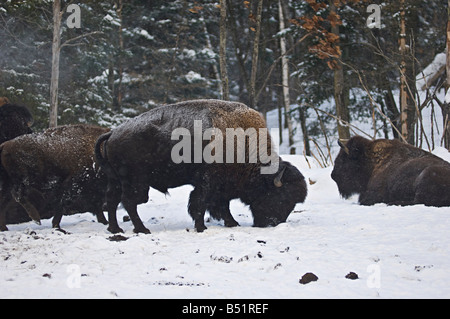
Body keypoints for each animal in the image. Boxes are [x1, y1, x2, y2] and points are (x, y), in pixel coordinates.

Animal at [94, 99, 306, 234]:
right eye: (282, 196)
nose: (273, 223)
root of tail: (113, 133)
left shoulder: (221, 187)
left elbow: (221, 205)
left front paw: (232, 223)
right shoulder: (207, 183)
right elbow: (201, 203)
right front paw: (202, 227)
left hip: (115, 180)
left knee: (112, 201)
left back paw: (115, 229)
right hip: (137, 183)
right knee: (129, 201)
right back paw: (142, 229)